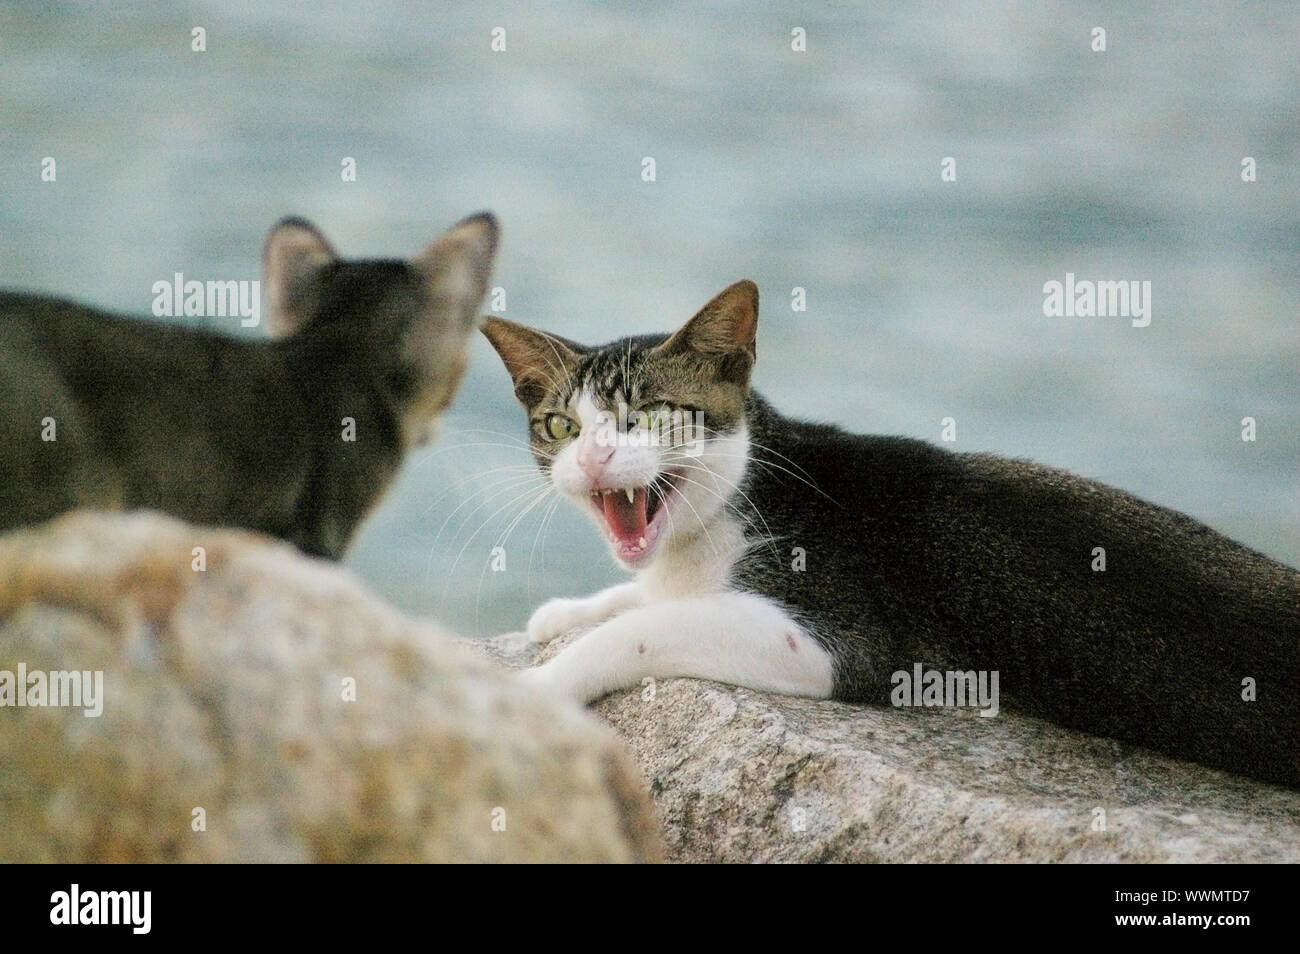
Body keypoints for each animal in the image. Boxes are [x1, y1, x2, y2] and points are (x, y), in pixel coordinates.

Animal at [486, 280, 1300, 790]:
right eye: (560, 426)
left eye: (649, 415)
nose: (594, 457)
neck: (743, 499)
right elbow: (646, 599)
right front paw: (568, 611)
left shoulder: (844, 639)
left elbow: (646, 631)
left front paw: (536, 686)